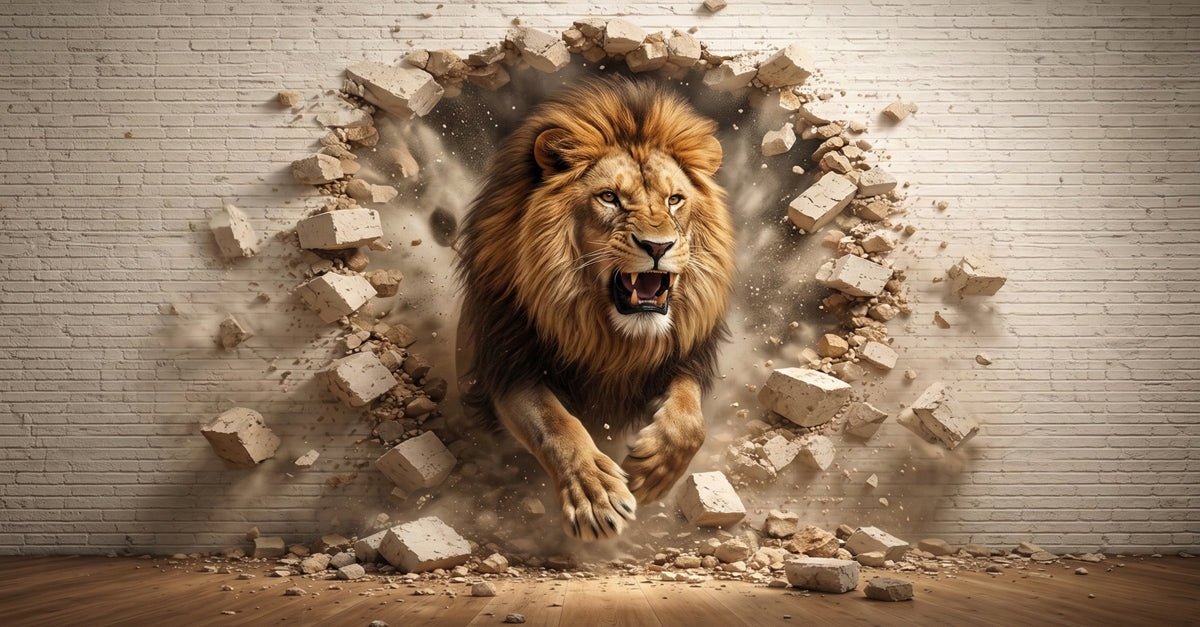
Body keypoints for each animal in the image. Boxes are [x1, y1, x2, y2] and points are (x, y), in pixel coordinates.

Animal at [455, 78, 735, 541]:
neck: (611, 338)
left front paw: (650, 472)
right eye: (609, 198)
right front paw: (595, 496)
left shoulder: (682, 355)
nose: (658, 246)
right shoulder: (508, 365)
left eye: (675, 199)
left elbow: (690, 421)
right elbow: (555, 424)